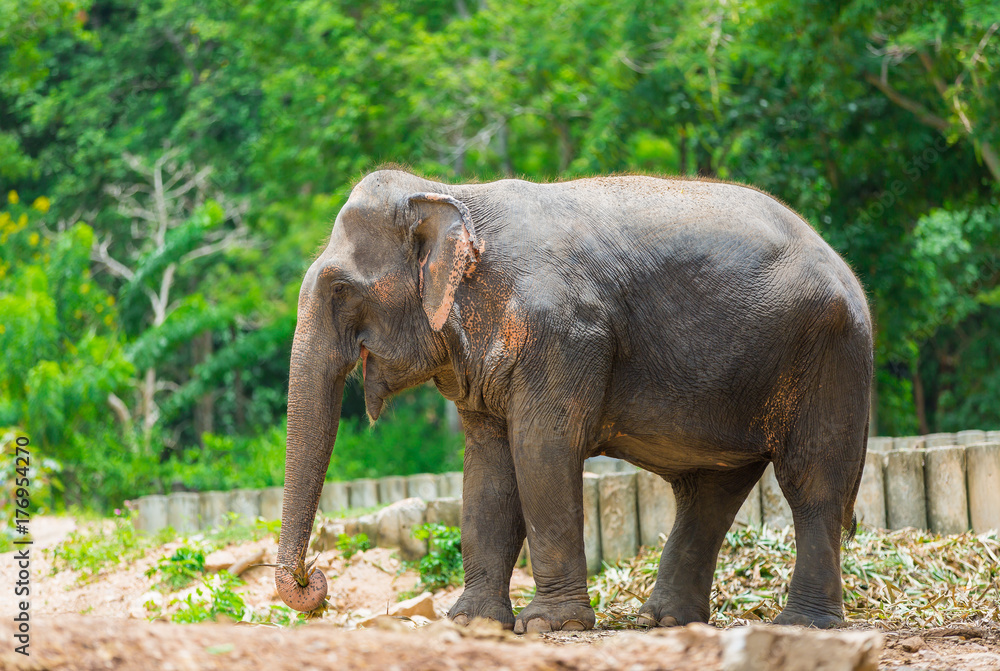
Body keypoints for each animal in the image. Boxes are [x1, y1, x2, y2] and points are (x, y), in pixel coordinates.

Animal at [274, 168, 873, 632]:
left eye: (340, 289)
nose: (314, 581)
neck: (453, 194)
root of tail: (845, 266)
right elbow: (489, 468)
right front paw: (471, 622)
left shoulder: (563, 332)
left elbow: (542, 448)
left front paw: (547, 625)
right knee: (709, 491)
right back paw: (663, 621)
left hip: (830, 357)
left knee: (812, 485)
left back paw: (803, 625)